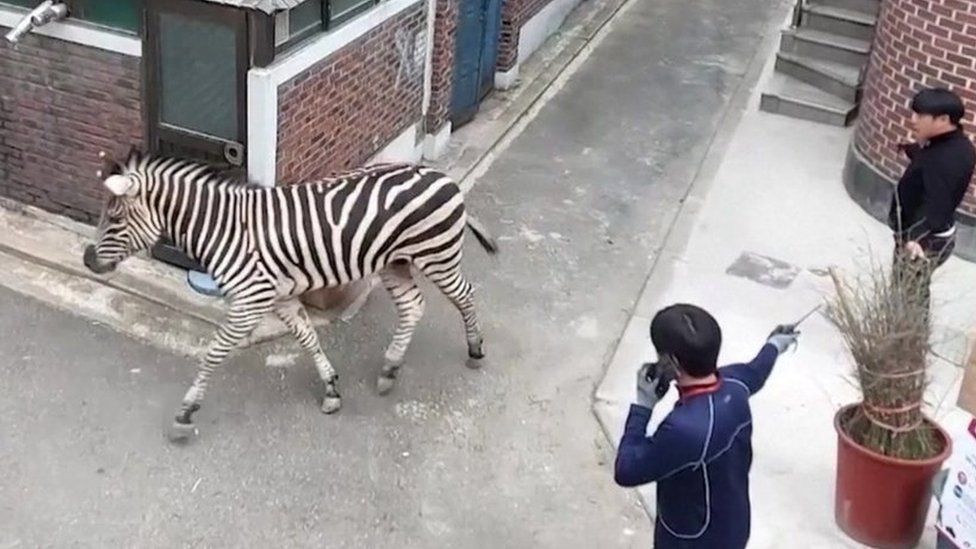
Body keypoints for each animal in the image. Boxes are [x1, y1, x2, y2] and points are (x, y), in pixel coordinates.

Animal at [81, 148, 500, 438]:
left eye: (114, 217)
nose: (87, 259)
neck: (223, 229)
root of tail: (438, 173)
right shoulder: (279, 297)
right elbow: (308, 337)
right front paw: (331, 389)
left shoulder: (249, 301)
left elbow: (213, 353)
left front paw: (186, 411)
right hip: (394, 263)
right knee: (413, 306)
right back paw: (390, 369)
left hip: (437, 255)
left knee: (465, 294)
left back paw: (475, 349)